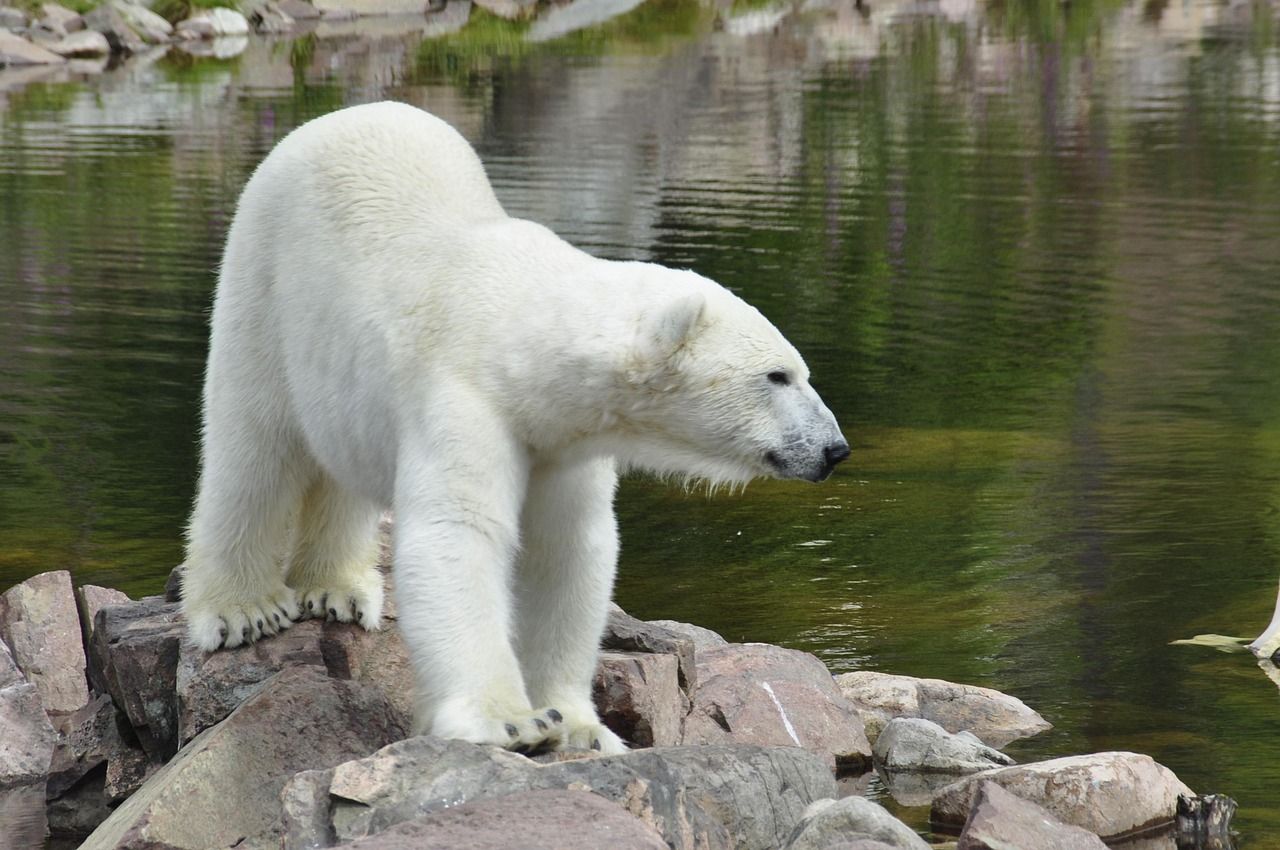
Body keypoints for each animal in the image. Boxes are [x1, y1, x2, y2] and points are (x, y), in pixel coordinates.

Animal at [177, 103, 839, 752]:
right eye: (778, 375)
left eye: (799, 370)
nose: (835, 448)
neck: (521, 341)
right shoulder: (466, 397)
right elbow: (459, 534)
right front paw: (511, 723)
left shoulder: (562, 443)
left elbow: (566, 550)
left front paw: (580, 727)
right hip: (266, 276)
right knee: (253, 446)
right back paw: (243, 610)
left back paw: (339, 589)